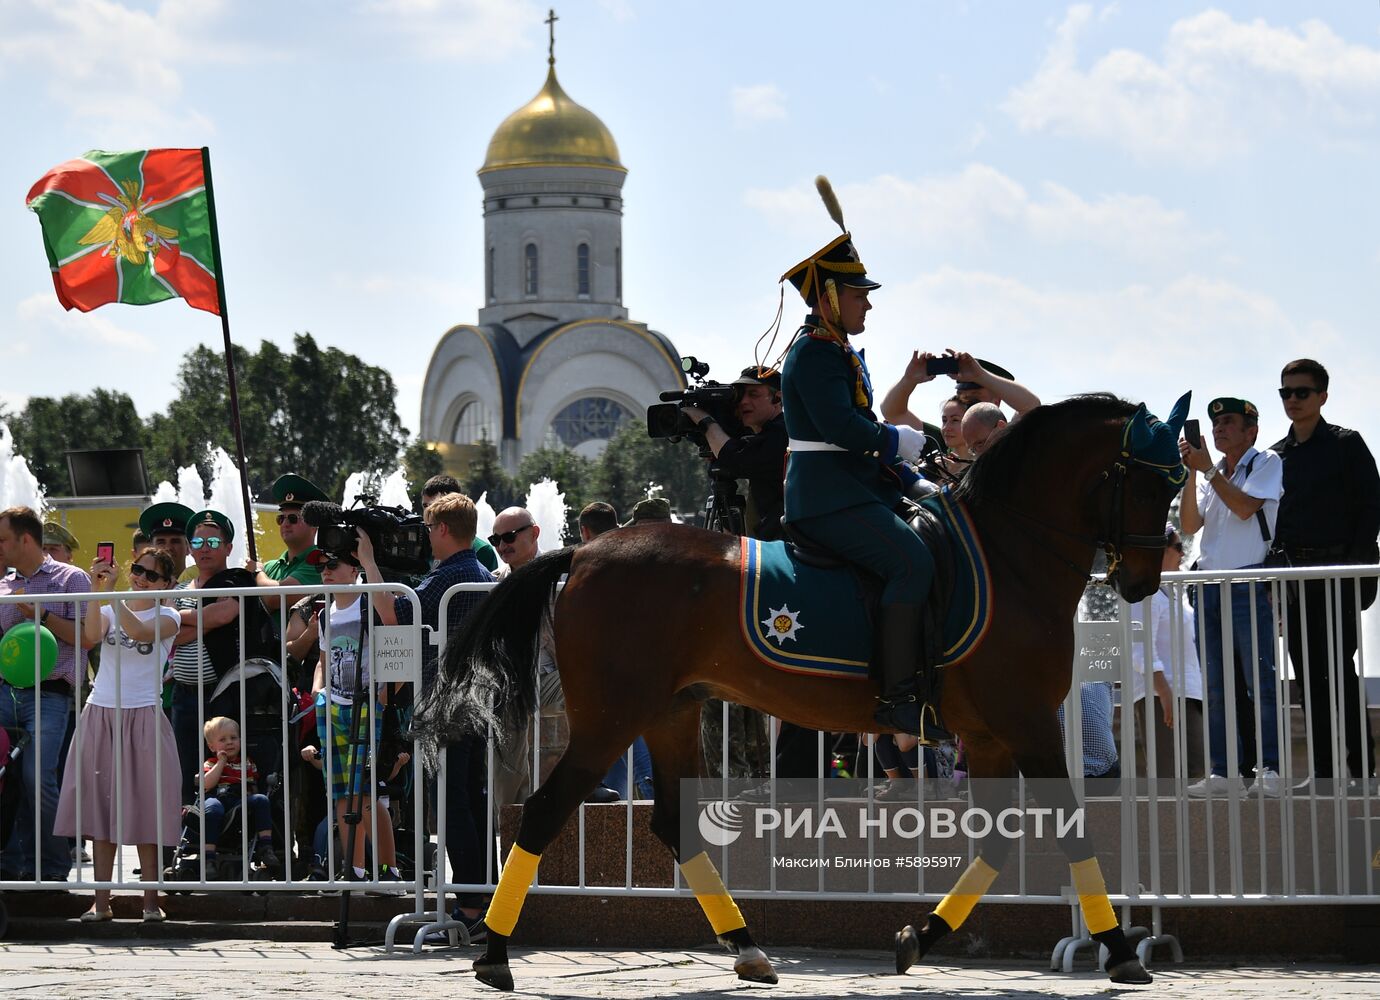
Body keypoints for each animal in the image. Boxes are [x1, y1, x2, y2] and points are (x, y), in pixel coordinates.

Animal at [414, 386, 1192, 987]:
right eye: (1149, 482)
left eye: (1178, 483)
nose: (1142, 580)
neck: (1010, 555)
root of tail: (581, 551)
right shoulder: (1025, 722)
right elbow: (1070, 828)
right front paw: (1119, 951)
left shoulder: (991, 736)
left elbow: (997, 845)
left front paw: (919, 938)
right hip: (612, 716)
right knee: (547, 811)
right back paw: (495, 954)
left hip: (669, 712)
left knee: (670, 823)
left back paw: (746, 946)